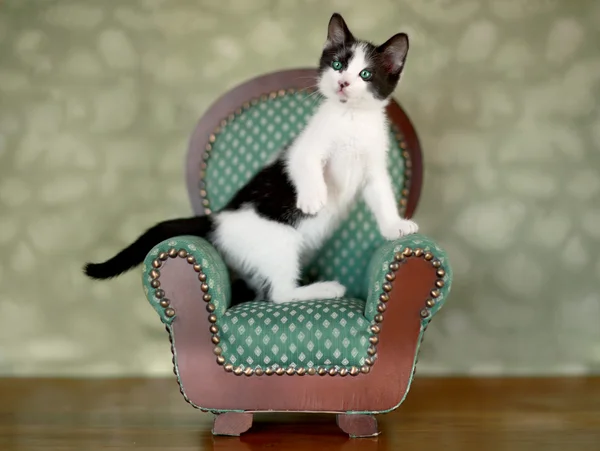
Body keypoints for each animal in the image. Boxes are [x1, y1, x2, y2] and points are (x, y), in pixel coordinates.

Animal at [84, 13, 418, 304]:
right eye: (337, 65)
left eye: (365, 74)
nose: (343, 83)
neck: (351, 120)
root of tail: (219, 218)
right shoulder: (303, 148)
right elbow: (306, 163)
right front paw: (313, 198)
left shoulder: (374, 167)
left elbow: (383, 196)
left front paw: (395, 227)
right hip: (280, 240)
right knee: (279, 294)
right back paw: (325, 288)